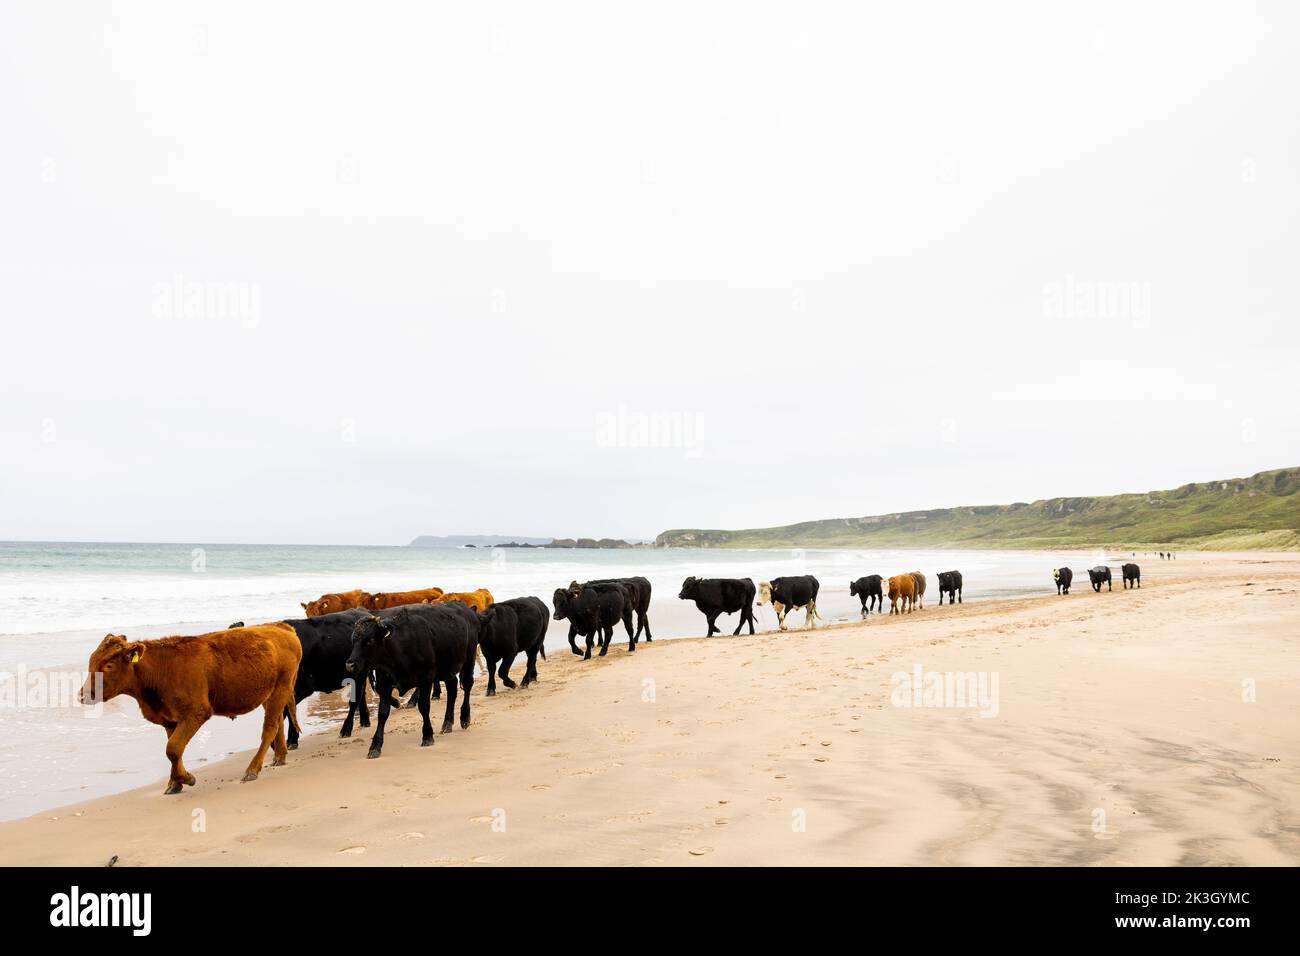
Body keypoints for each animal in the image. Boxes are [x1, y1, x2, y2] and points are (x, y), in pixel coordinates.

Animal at [79, 624, 302, 796]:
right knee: (278, 723)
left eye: (108, 665)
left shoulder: (196, 712)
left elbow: (172, 748)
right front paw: (175, 783)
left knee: (269, 728)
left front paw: (186, 778)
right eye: (91, 661)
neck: (161, 669)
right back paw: (279, 757)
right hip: (269, 694)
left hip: (281, 688)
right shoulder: (169, 719)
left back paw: (252, 769)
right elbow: (174, 750)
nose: (83, 694)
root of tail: (281, 627)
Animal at [348, 608, 480, 759]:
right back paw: (447, 723)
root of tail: (468, 610)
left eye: (369, 640)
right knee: (452, 688)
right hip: (447, 668)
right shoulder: (384, 683)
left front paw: (427, 736)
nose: (350, 665)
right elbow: (383, 713)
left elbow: (424, 707)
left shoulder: (426, 679)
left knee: (468, 685)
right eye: (353, 640)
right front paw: (375, 746)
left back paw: (465, 717)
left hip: (470, 657)